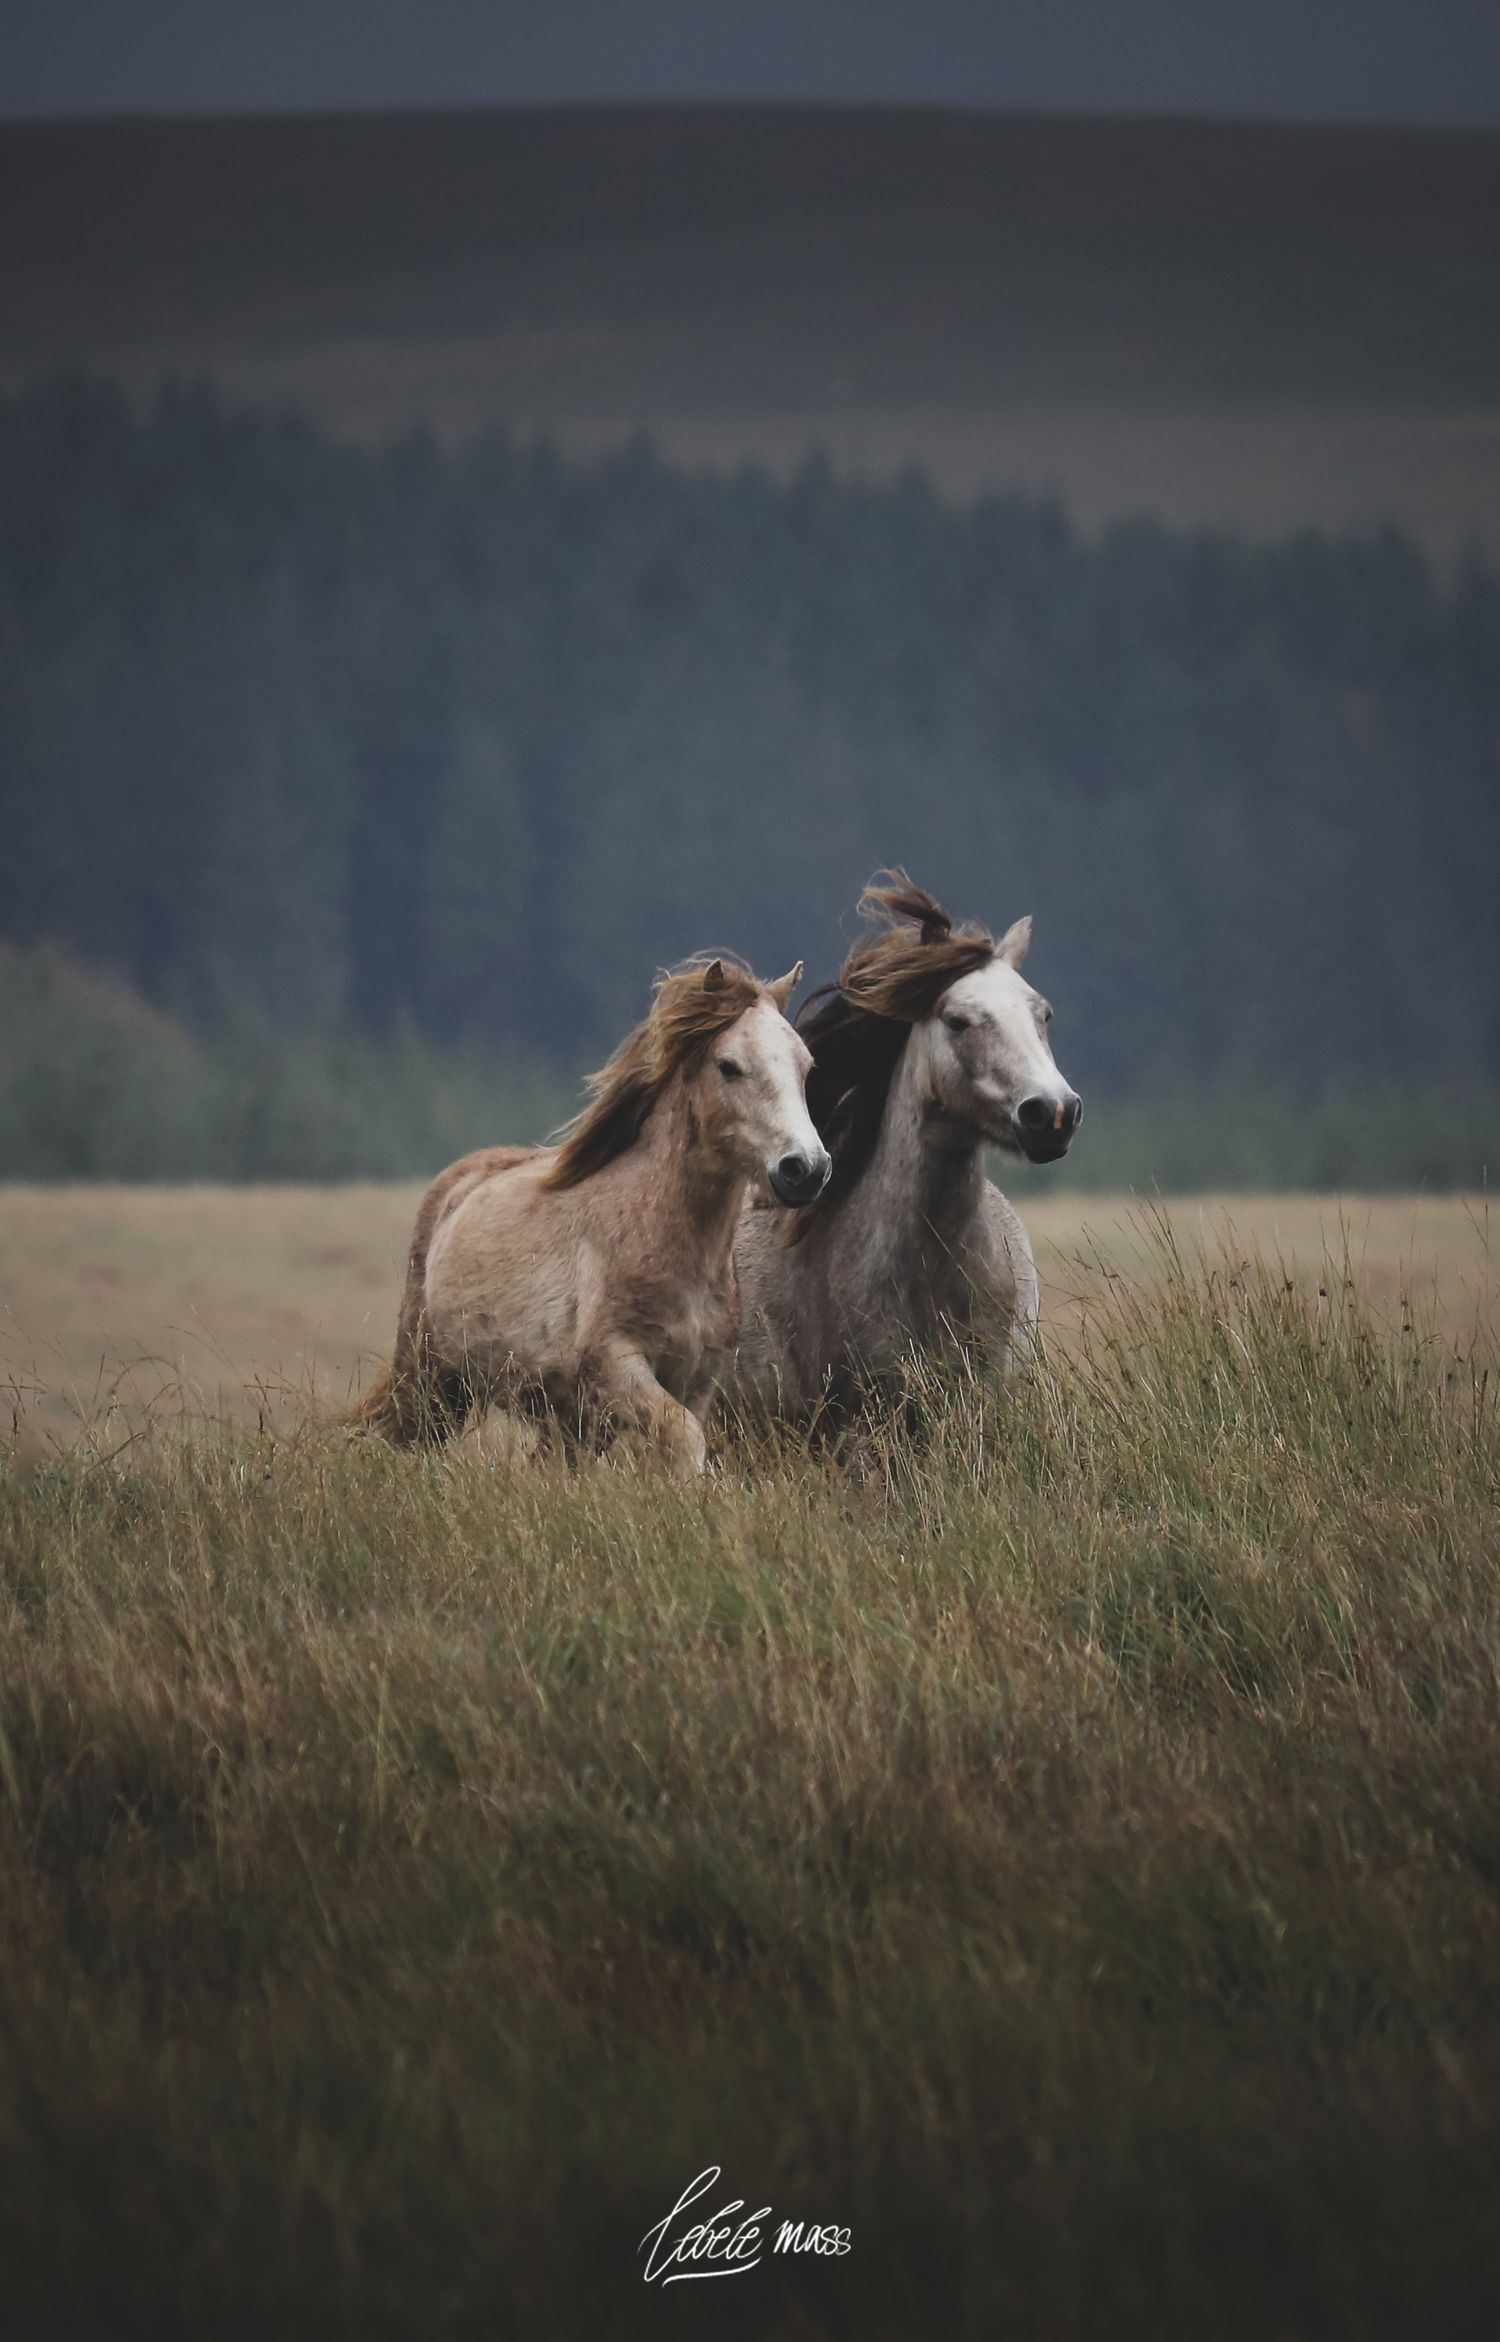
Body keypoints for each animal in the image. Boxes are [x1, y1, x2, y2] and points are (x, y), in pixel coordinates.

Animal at [356, 955, 829, 1475]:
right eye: (728, 1066)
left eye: (806, 1066)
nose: (806, 1168)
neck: (662, 1236)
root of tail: (456, 1184)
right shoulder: (616, 1365)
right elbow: (683, 1435)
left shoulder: (700, 1377)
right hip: (432, 1382)